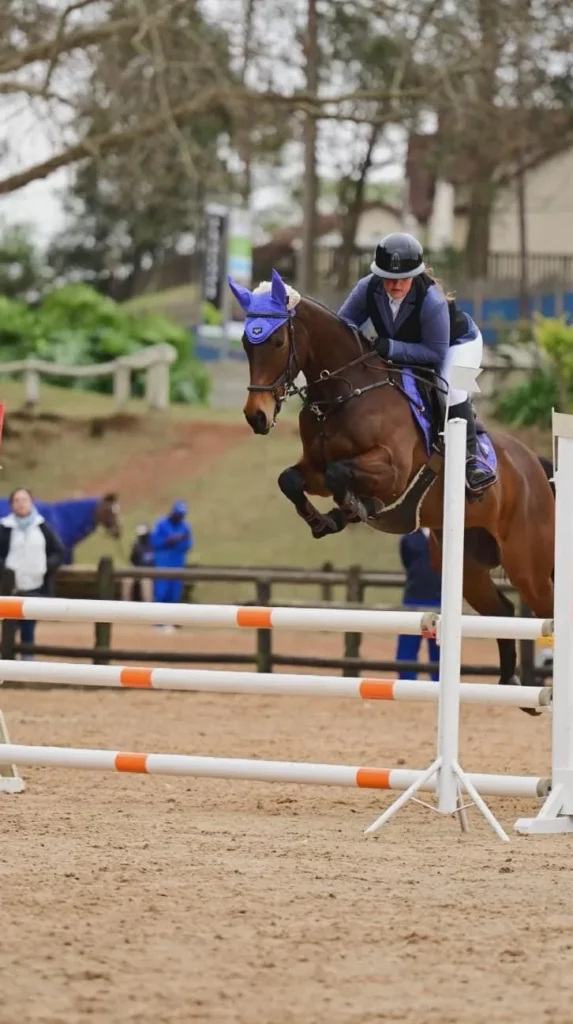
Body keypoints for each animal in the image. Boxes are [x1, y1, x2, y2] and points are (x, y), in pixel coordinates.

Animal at [229, 270, 555, 701]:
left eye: (279, 341)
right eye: (247, 343)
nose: (257, 417)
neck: (344, 392)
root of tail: (536, 467)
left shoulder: (392, 470)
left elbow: (340, 475)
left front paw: (352, 509)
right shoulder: (314, 467)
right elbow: (293, 479)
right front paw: (325, 521)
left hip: (528, 563)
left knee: (547, 609)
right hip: (466, 560)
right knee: (502, 611)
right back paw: (510, 686)